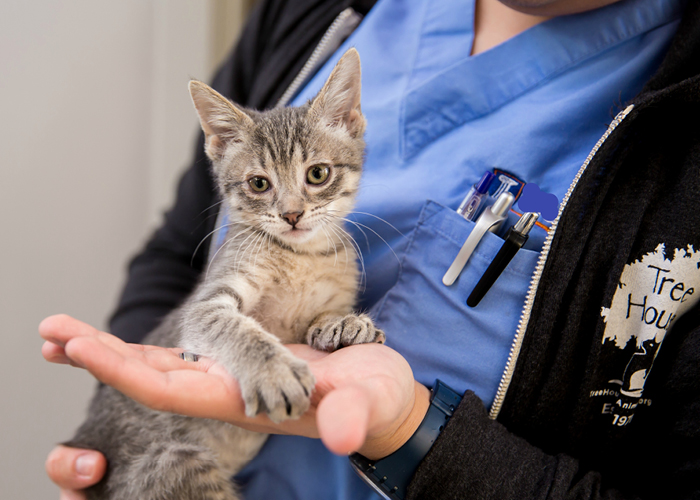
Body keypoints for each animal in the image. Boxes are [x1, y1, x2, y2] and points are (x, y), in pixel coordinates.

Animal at [68, 47, 386, 500]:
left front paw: (343, 324)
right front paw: (274, 370)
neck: (303, 257)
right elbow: (235, 327)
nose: (292, 214)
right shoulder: (207, 303)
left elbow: (324, 314)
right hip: (173, 464)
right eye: (259, 184)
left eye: (318, 173)